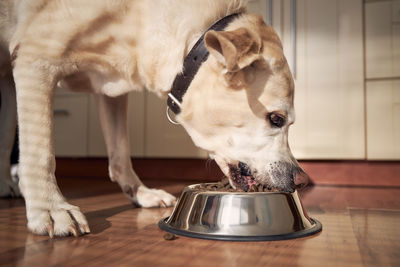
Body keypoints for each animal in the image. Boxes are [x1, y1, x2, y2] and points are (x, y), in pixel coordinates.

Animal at [0, 0, 310, 239]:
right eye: (276, 118)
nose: (302, 180)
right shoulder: (36, 61)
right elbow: (41, 153)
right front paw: (50, 209)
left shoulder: (111, 89)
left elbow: (121, 152)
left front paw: (140, 193)